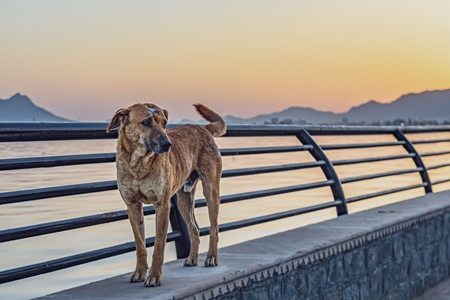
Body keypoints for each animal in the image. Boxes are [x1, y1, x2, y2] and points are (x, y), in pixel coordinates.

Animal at [105, 102, 225, 286]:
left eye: (164, 123)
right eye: (146, 123)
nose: (168, 144)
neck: (139, 164)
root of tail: (203, 129)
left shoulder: (162, 205)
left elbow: (159, 243)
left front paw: (154, 276)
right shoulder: (132, 206)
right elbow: (140, 244)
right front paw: (139, 272)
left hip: (211, 191)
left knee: (214, 227)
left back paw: (211, 257)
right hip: (184, 201)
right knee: (194, 228)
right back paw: (192, 258)